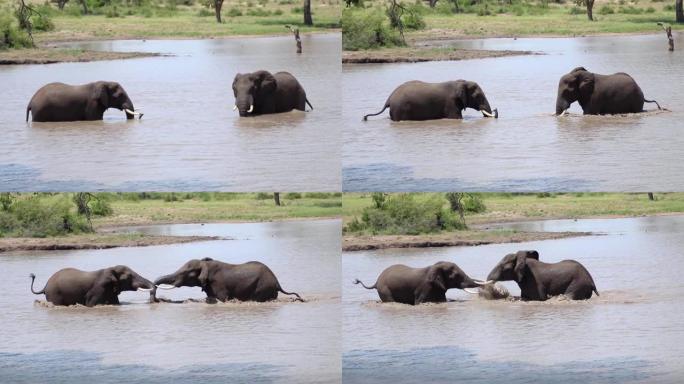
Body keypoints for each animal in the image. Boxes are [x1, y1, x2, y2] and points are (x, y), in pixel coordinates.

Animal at [155, 258, 304, 304]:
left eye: (186, 274)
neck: (205, 263)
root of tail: (278, 283)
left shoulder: (218, 284)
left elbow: (221, 299)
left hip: (263, 287)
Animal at [352, 260, 492, 306]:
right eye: (455, 276)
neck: (433, 267)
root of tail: (376, 282)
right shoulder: (424, 287)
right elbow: (419, 302)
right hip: (384, 289)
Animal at [364, 80, 496, 122]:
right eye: (478, 96)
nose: (495, 111)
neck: (461, 81)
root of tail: (389, 99)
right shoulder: (450, 103)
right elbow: (456, 118)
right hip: (400, 109)